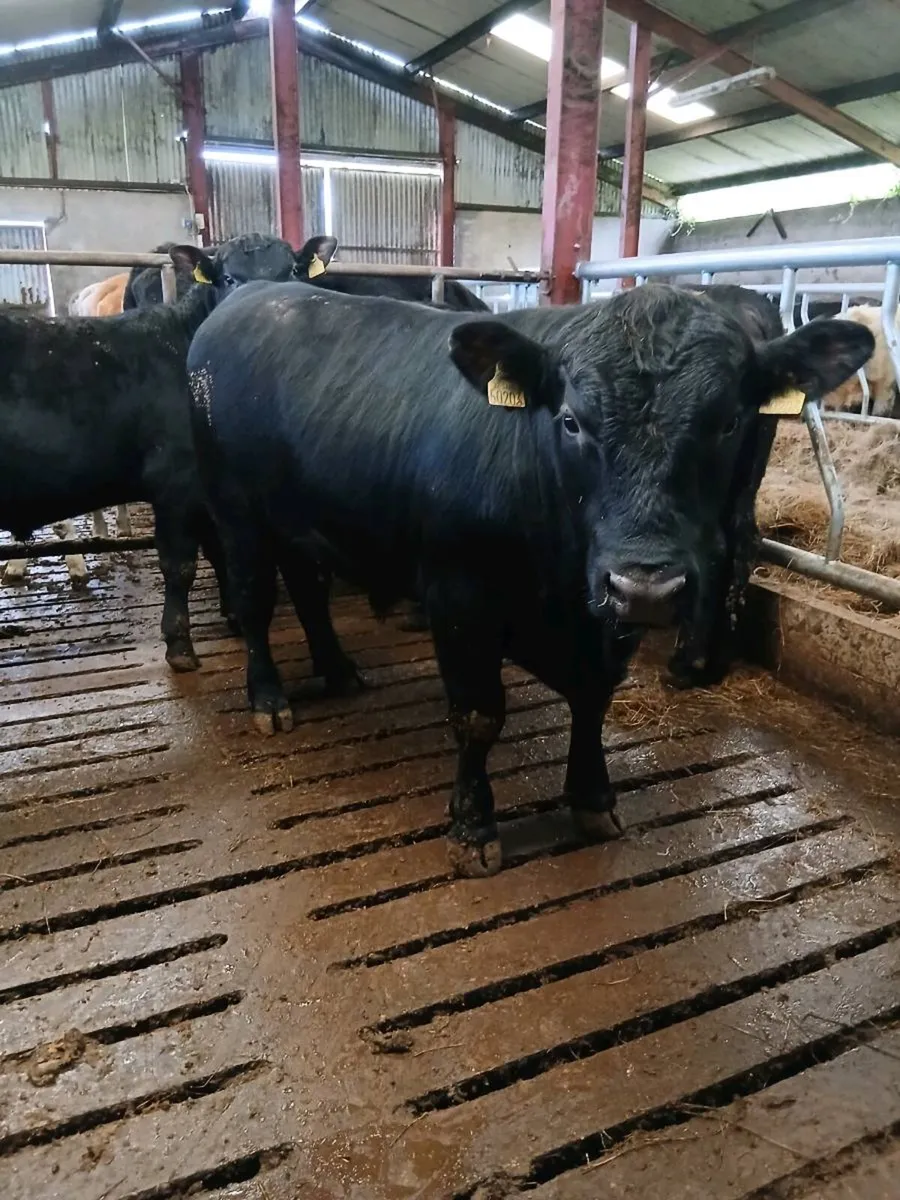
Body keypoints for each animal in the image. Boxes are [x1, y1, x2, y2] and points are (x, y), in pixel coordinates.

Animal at [187, 281, 872, 876]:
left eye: (728, 421)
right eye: (570, 420)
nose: (648, 587)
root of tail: (251, 294)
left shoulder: (606, 610)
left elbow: (594, 698)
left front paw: (593, 799)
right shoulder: (459, 601)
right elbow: (477, 715)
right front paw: (473, 828)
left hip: (299, 522)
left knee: (307, 589)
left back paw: (337, 670)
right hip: (234, 512)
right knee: (254, 602)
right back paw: (269, 699)